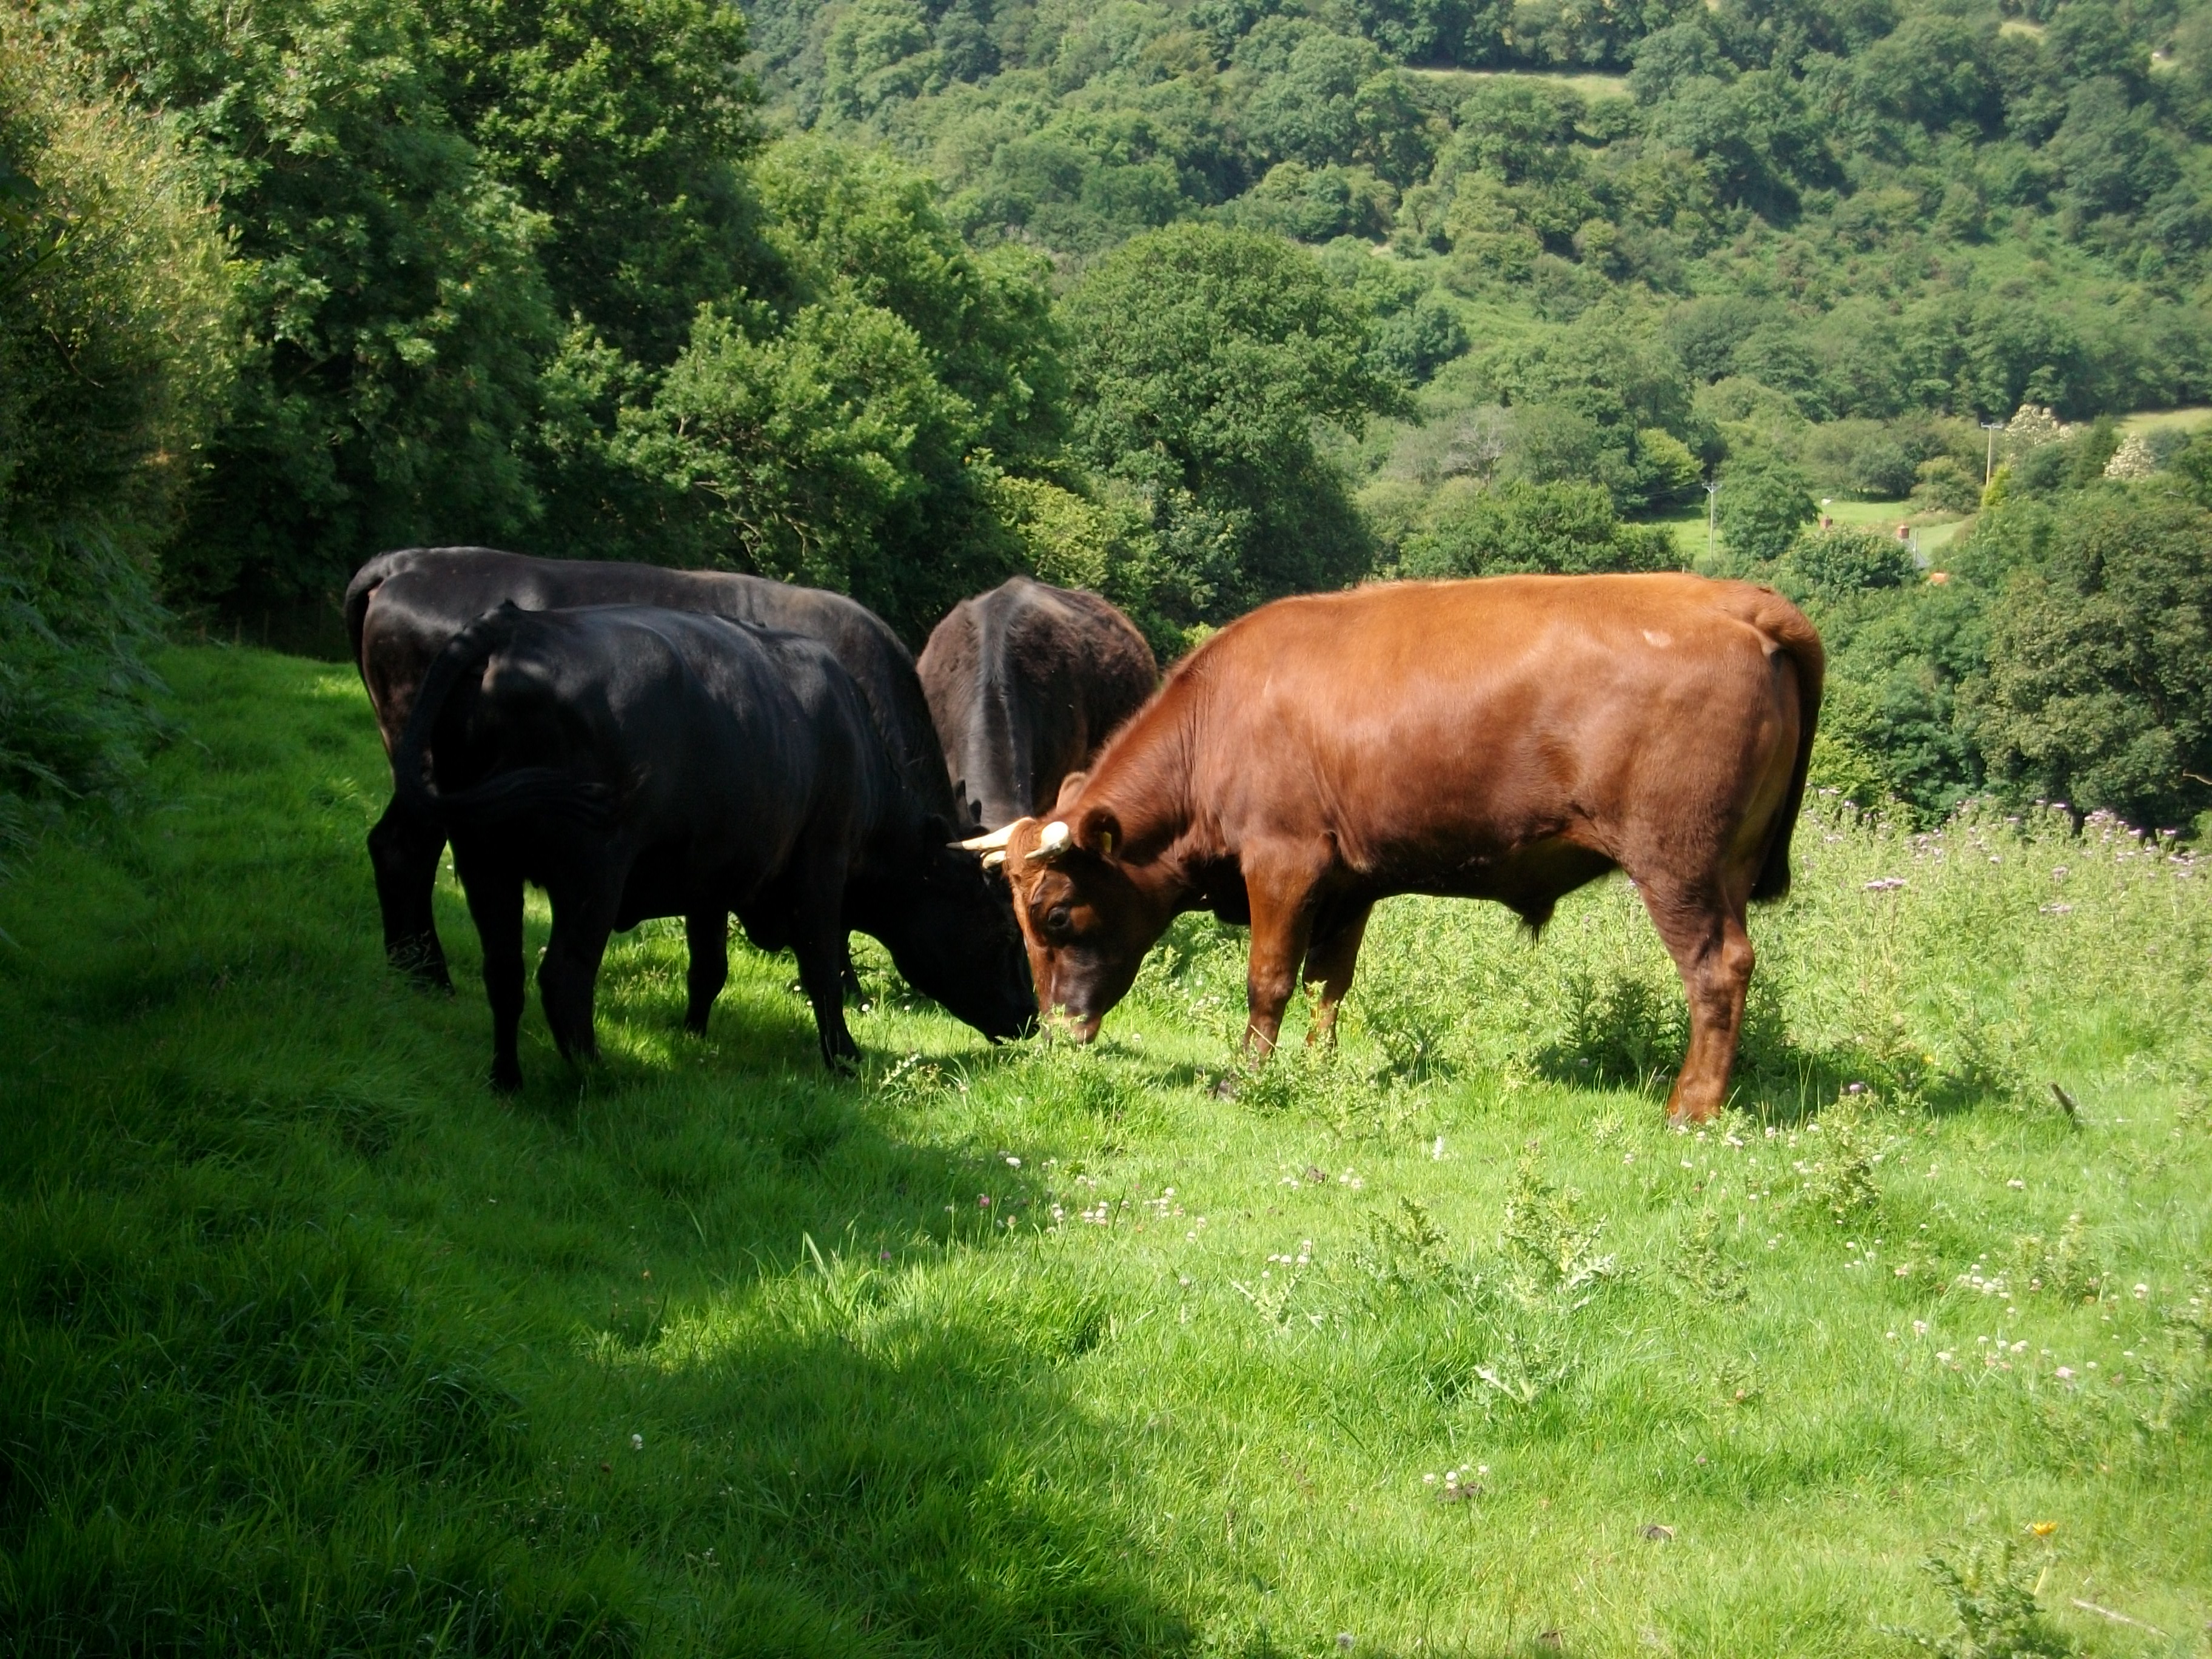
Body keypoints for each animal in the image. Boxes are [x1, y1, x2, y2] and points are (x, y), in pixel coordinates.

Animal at [349, 548, 955, 987]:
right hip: (428, 768)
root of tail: (412, 561)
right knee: (403, 849)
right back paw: (428, 977)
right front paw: (846, 987)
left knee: (392, 845)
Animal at [391, 606, 1035, 1084]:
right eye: (1005, 932)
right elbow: (823, 968)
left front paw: (694, 1036)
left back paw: (506, 1079)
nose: (1031, 1015)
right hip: (592, 869)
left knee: (504, 970)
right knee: (563, 978)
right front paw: (845, 1057)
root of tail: (515, 623)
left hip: (483, 856)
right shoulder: (820, 868)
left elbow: (709, 968)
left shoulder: (710, 878)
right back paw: (597, 1081)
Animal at [973, 575, 1831, 1132]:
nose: (1054, 1035)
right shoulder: (1348, 881)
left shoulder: (1282, 861)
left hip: (1679, 864)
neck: (1218, 720)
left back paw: (1690, 1108)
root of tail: (1738, 600)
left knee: (1718, 969)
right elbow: (1330, 981)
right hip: (1726, 866)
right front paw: (1318, 1067)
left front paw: (1244, 1078)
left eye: (1056, 915)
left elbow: (1269, 979)